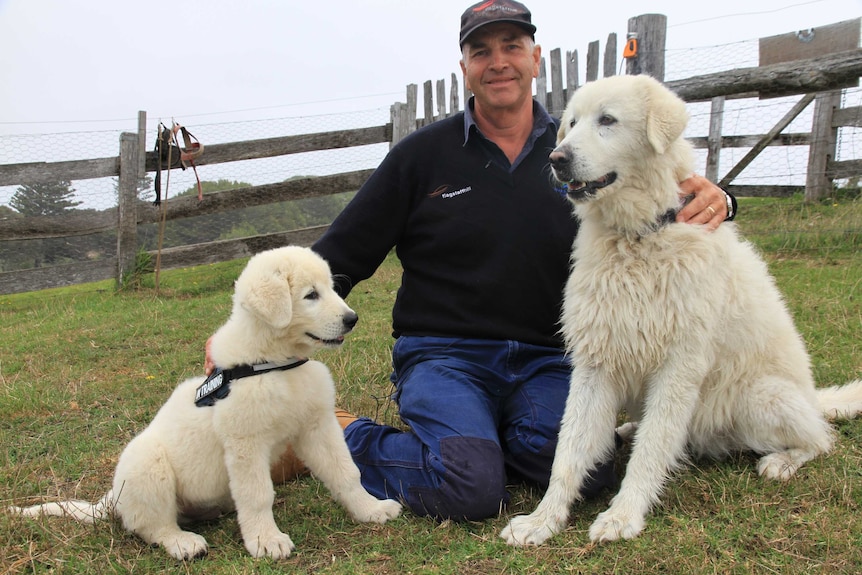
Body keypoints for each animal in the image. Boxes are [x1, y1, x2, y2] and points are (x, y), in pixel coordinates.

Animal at [11, 245, 402, 560]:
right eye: (310, 295)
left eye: (332, 288)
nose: (352, 319)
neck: (276, 363)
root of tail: (111, 498)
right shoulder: (245, 443)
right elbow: (258, 494)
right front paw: (266, 541)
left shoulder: (317, 426)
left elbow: (346, 472)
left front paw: (369, 509)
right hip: (146, 464)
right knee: (151, 526)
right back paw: (182, 542)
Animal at [502, 74, 862, 548]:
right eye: (572, 123)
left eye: (607, 120)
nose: (557, 158)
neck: (637, 237)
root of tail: (812, 399)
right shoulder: (596, 363)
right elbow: (567, 450)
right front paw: (543, 520)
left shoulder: (679, 367)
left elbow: (652, 451)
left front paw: (622, 517)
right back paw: (625, 430)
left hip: (759, 397)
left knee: (821, 438)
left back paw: (783, 461)